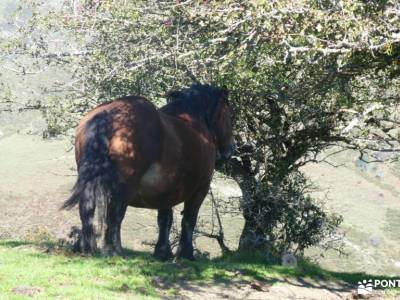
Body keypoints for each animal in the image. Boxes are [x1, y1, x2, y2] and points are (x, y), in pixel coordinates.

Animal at [62, 84, 234, 260]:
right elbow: (189, 219)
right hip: (123, 187)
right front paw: (186, 254)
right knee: (115, 215)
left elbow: (165, 219)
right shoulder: (201, 188)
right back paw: (115, 251)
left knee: (88, 208)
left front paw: (162, 252)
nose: (231, 149)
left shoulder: (167, 190)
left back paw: (85, 247)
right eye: (230, 115)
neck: (193, 121)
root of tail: (106, 116)